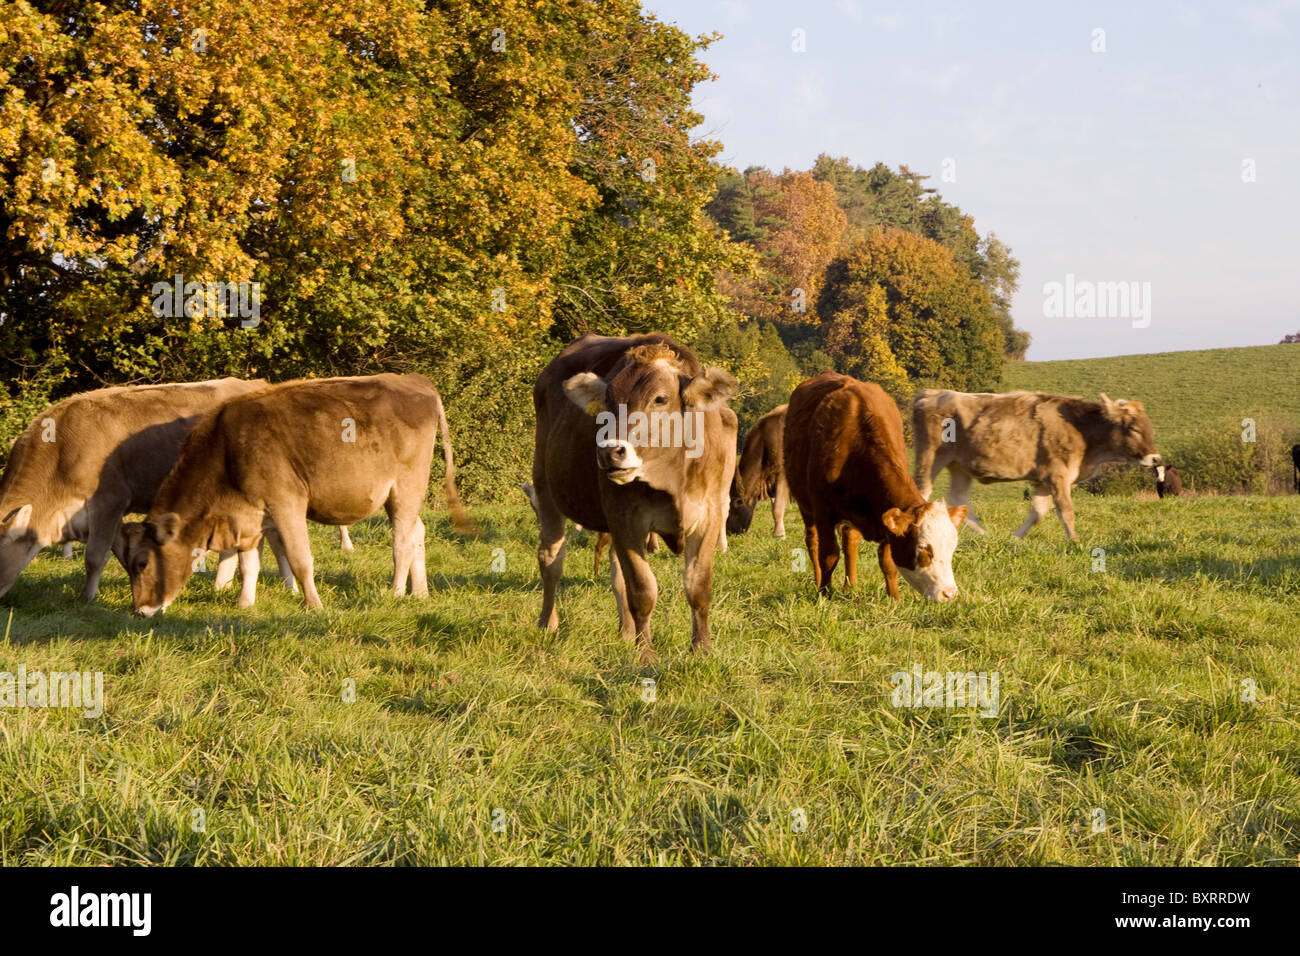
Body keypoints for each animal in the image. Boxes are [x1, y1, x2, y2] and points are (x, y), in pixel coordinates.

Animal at [116, 374, 470, 613]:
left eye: (142, 563)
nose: (140, 611)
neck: (227, 449)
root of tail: (413, 379)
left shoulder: (287, 503)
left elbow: (300, 560)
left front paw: (314, 605)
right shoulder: (250, 513)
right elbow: (249, 563)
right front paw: (245, 604)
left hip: (406, 487)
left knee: (403, 541)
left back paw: (396, 591)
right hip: (399, 496)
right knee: (418, 531)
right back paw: (420, 592)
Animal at [722, 403, 790, 538]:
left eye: (736, 502)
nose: (729, 531)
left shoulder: (783, 474)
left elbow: (778, 507)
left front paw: (779, 534)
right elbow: (774, 506)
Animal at [780, 371, 967, 600]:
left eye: (952, 547)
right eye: (924, 549)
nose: (949, 593)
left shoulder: (885, 515)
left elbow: (887, 562)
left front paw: (894, 599)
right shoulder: (822, 509)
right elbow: (829, 556)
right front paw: (825, 594)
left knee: (850, 540)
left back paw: (850, 586)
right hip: (805, 505)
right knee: (813, 541)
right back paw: (818, 582)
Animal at [909, 387, 1164, 538]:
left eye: (1149, 427)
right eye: (1133, 429)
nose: (1156, 458)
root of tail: (930, 393)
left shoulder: (1044, 481)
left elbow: (1038, 513)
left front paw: (1014, 539)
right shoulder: (1058, 476)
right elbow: (1066, 512)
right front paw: (1074, 542)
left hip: (959, 466)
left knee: (959, 499)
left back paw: (985, 535)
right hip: (931, 457)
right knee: (922, 491)